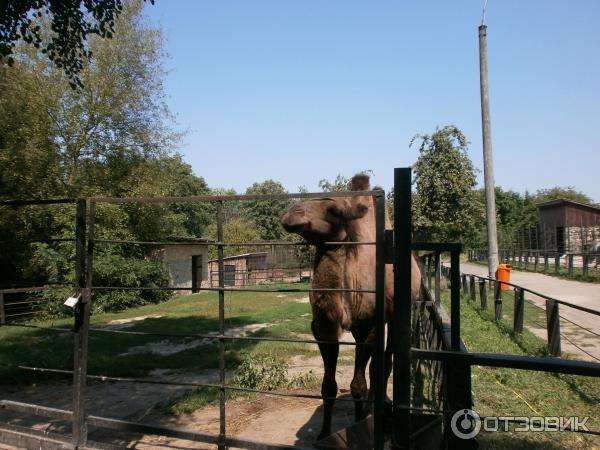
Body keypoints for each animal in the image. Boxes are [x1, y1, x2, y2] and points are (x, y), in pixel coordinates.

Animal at [282, 175, 422, 440]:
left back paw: (376, 407)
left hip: (394, 315)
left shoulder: (369, 326)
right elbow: (328, 387)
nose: (292, 213)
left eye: (334, 210)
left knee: (382, 363)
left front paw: (358, 428)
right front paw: (323, 435)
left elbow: (358, 384)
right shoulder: (322, 329)